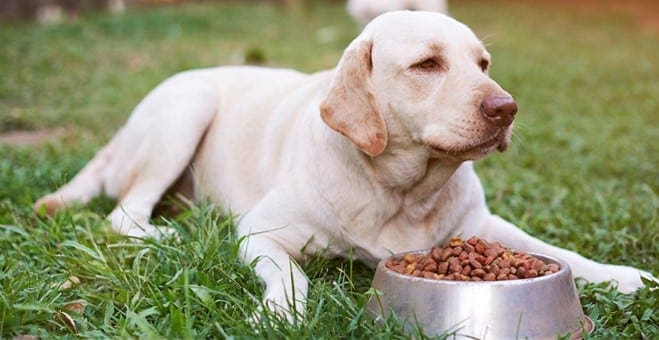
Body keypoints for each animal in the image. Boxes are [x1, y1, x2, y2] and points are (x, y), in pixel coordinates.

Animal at [34, 10, 656, 322]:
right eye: (427, 64)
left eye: (483, 63)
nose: (507, 109)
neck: (400, 191)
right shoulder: (260, 233)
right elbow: (293, 277)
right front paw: (279, 313)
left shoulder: (482, 229)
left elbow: (557, 252)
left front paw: (624, 275)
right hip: (187, 107)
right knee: (123, 215)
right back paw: (169, 234)